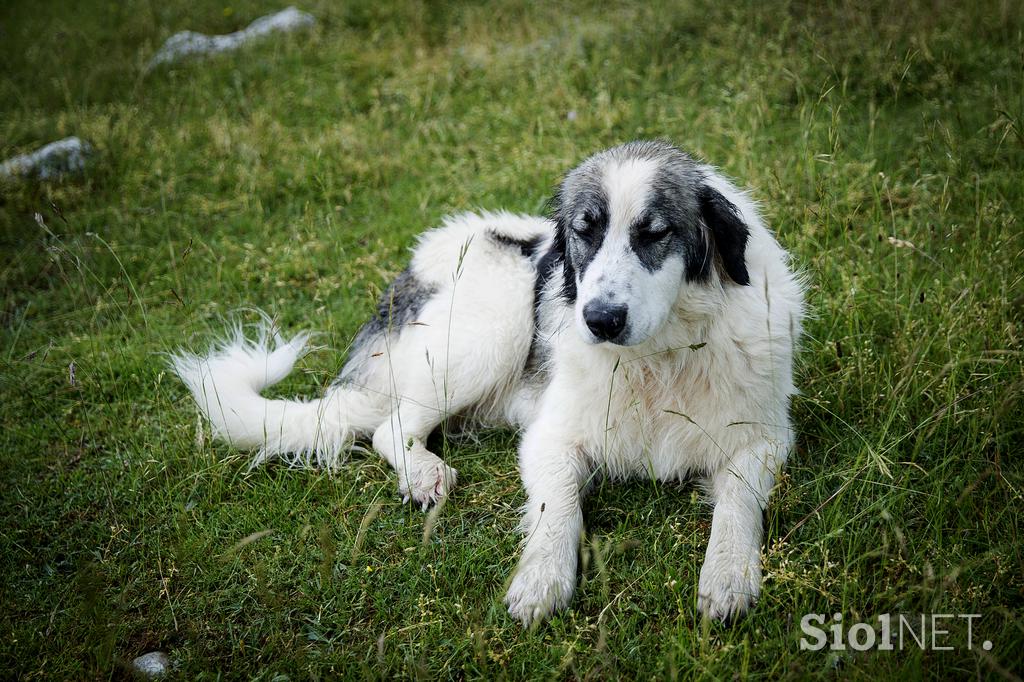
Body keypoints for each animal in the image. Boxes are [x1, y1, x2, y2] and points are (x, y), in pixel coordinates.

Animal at [172, 140, 802, 622]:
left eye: (655, 234)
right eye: (586, 233)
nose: (599, 319)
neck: (661, 356)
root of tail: (412, 268)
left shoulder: (763, 438)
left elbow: (737, 505)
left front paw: (728, 575)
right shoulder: (551, 438)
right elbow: (557, 508)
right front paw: (541, 580)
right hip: (493, 330)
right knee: (389, 426)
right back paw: (424, 473)